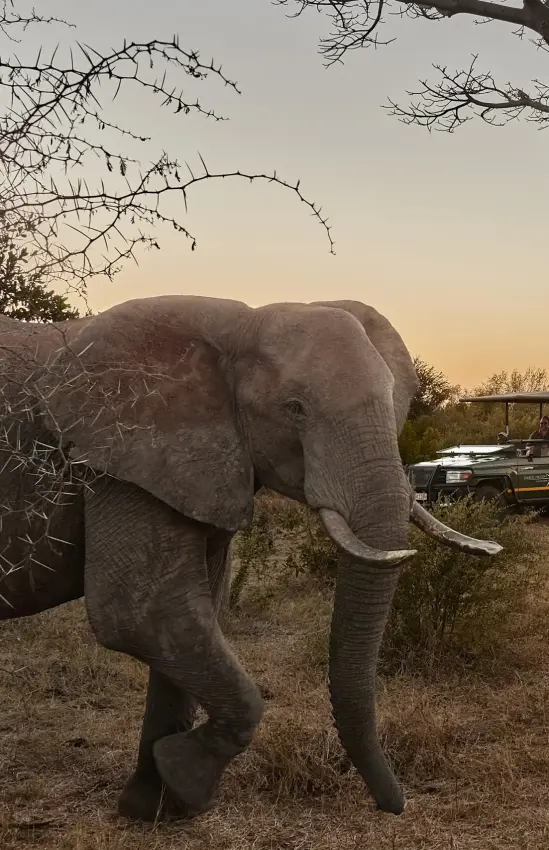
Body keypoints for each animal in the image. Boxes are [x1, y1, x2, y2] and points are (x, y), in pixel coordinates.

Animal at [0, 295, 502, 822]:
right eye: (294, 409)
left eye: (395, 403)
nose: (395, 806)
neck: (239, 326)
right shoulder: (122, 457)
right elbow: (141, 616)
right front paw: (183, 777)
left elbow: (194, 617)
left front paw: (156, 807)